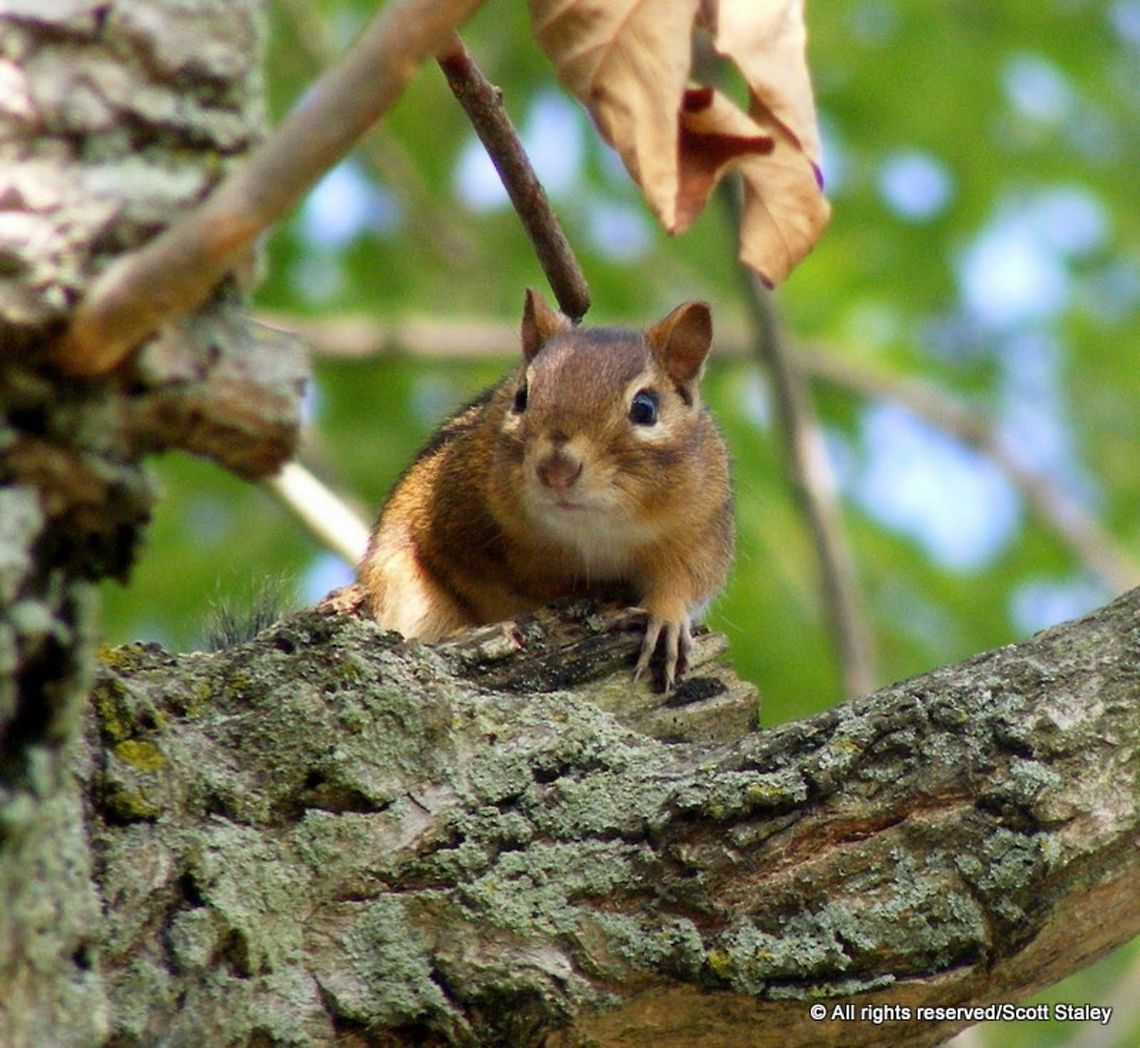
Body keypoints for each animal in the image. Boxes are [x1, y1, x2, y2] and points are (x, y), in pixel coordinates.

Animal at [358, 289, 734, 689]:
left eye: (645, 407)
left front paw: (666, 619)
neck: (593, 532)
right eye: (521, 396)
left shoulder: (703, 526)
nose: (557, 469)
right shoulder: (455, 516)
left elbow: (688, 579)